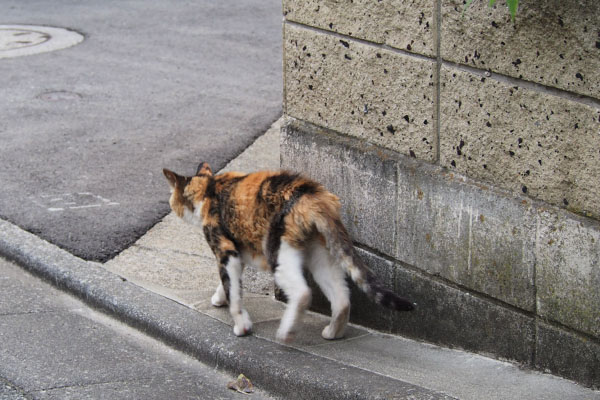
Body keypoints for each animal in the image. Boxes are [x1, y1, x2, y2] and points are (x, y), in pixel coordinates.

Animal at [164, 162, 418, 344]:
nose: (171, 206)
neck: (209, 189)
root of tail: (313, 195)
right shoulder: (239, 251)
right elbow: (228, 284)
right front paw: (219, 298)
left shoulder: (226, 251)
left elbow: (233, 291)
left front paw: (241, 326)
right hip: (320, 257)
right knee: (342, 299)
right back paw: (332, 333)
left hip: (278, 255)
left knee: (303, 293)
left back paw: (287, 332)